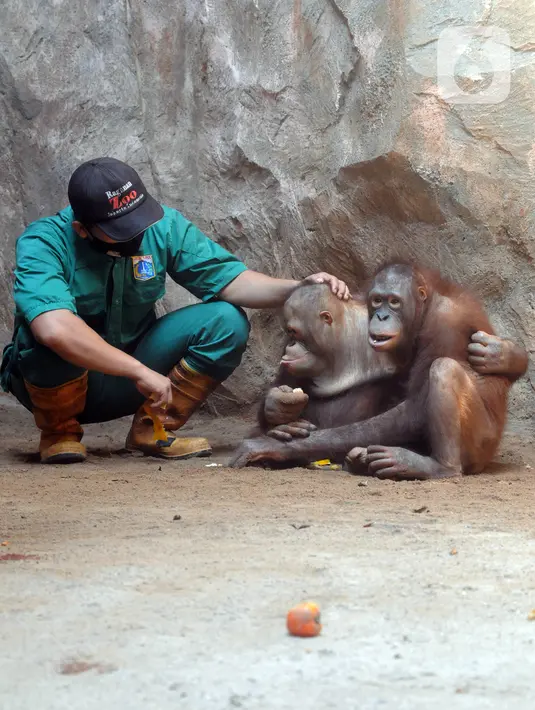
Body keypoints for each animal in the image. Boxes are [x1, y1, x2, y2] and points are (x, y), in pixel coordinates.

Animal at [230, 264, 528, 479]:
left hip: (482, 442)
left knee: (443, 369)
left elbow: (416, 406)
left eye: (394, 302)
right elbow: (285, 382)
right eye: (377, 301)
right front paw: (279, 409)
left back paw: (435, 467)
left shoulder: (446, 323)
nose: (381, 316)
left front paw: (272, 446)